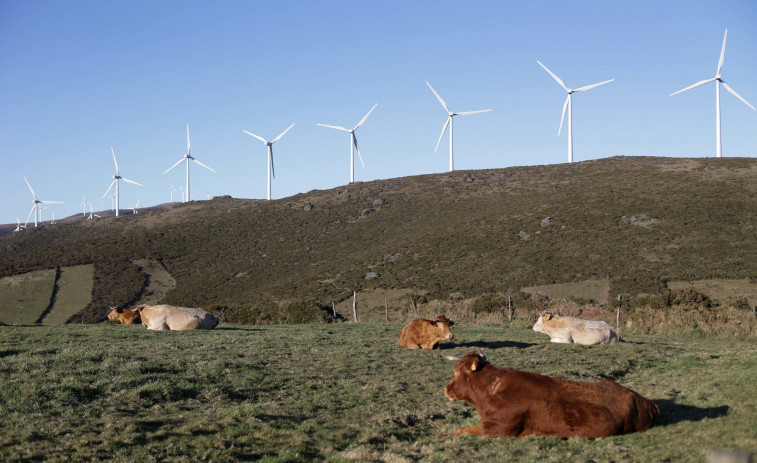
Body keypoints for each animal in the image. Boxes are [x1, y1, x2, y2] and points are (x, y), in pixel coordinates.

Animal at [440, 354, 660, 440]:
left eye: (456, 371)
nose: (445, 390)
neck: (491, 392)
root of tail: (647, 402)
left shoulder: (499, 428)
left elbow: (459, 431)